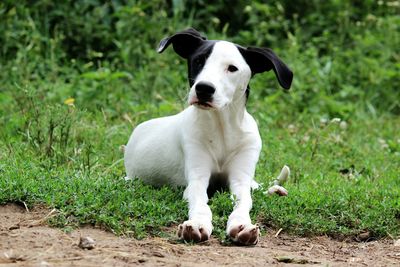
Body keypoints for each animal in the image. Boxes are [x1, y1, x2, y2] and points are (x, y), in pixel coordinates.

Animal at [125, 28, 294, 246]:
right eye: (198, 60)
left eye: (232, 68)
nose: (204, 88)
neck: (221, 128)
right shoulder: (197, 178)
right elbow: (200, 202)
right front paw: (197, 223)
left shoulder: (240, 178)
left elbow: (244, 200)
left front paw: (242, 224)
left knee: (256, 187)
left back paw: (275, 191)